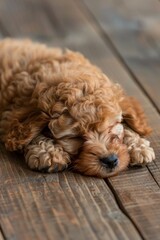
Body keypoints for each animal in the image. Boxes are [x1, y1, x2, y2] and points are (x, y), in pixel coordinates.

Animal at [0, 39, 155, 177]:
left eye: (111, 127)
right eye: (75, 137)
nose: (110, 160)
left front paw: (137, 146)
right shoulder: (11, 116)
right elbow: (32, 133)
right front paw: (48, 152)